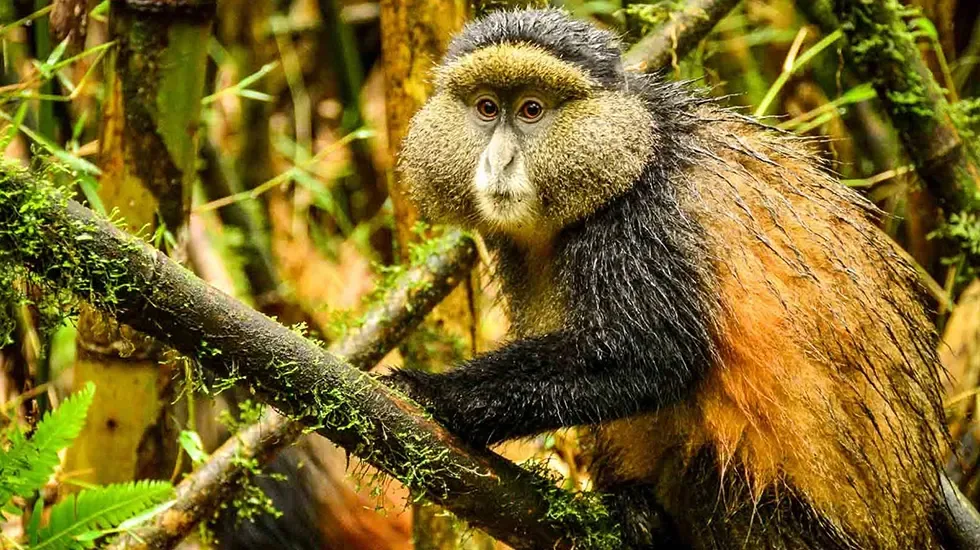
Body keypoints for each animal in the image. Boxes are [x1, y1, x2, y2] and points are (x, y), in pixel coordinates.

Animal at [380, 8, 980, 549]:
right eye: (487, 108)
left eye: (532, 110)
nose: (499, 162)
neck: (635, 148)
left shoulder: (642, 223)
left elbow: (652, 355)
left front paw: (431, 393)